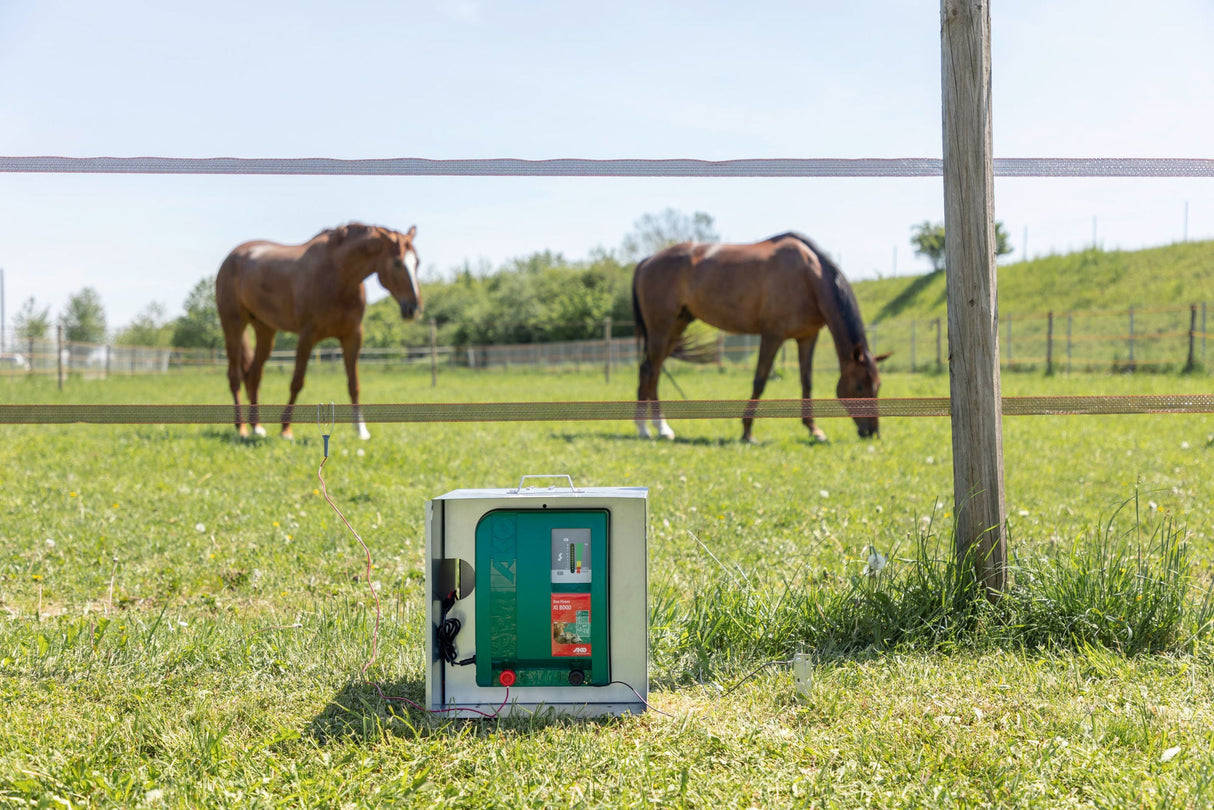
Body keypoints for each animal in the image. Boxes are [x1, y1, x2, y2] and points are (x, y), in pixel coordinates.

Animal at [218, 224, 422, 439]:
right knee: (235, 376)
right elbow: (297, 382)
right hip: (233, 324)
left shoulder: (352, 336)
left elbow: (354, 384)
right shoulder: (307, 336)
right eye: (398, 263)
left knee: (254, 375)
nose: (413, 308)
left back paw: (256, 427)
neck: (339, 277)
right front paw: (286, 429)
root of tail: (235, 255)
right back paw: (241, 428)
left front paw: (361, 429)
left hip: (265, 329)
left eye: (417, 262)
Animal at [631, 230, 888, 444]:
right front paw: (747, 432)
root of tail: (647, 261)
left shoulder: (807, 337)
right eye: (859, 387)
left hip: (676, 327)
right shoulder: (772, 336)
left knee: (650, 369)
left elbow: (807, 382)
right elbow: (760, 381)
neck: (808, 277)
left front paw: (814, 429)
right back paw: (655, 428)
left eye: (877, 386)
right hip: (661, 328)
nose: (872, 432)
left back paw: (648, 427)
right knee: (651, 370)